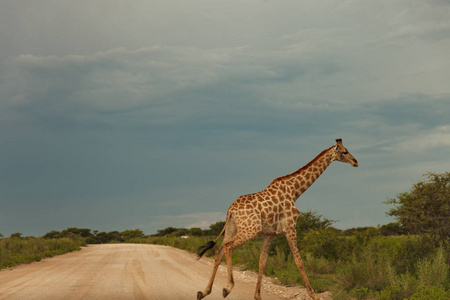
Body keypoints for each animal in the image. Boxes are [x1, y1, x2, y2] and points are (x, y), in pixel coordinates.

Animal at [197, 139, 358, 300]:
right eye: (345, 152)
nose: (355, 162)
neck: (295, 191)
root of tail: (231, 210)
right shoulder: (290, 227)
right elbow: (299, 261)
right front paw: (314, 295)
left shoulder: (269, 233)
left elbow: (262, 261)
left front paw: (257, 295)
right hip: (250, 230)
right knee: (228, 247)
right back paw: (228, 287)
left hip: (232, 228)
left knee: (219, 251)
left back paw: (204, 291)